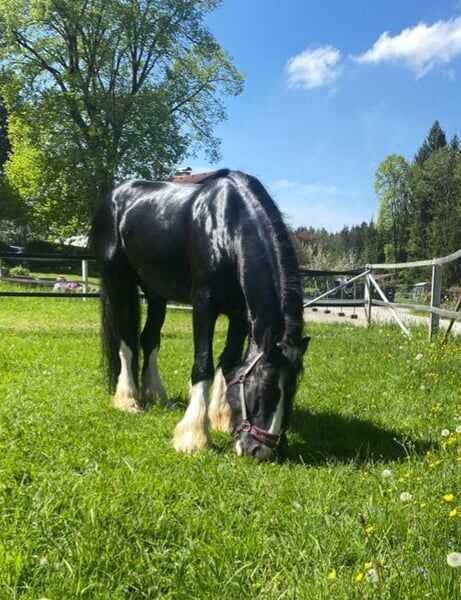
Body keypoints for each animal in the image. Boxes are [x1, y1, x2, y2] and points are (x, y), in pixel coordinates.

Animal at [91, 169, 308, 460]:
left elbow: (229, 363)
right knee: (126, 341)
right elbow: (203, 365)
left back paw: (156, 395)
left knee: (149, 339)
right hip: (117, 281)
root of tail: (113, 197)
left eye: (292, 389)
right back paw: (128, 399)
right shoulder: (204, 305)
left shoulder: (240, 314)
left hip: (156, 291)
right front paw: (194, 437)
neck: (228, 224)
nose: (258, 451)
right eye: (264, 387)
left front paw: (222, 419)